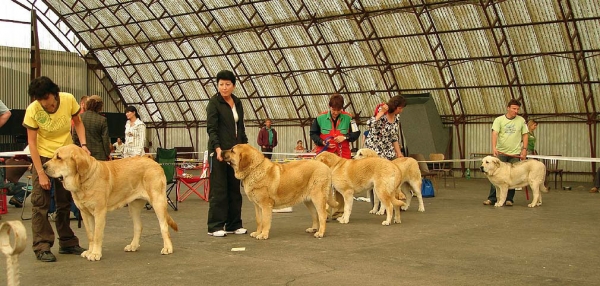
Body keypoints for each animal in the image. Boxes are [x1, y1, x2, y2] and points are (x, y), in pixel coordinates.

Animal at [43, 145, 177, 262]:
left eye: (59, 157)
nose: (43, 166)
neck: (84, 180)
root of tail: (154, 162)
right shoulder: (85, 214)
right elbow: (90, 235)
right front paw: (90, 251)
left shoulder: (99, 212)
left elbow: (97, 235)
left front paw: (95, 254)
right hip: (133, 206)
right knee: (138, 226)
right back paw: (133, 245)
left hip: (158, 201)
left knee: (164, 226)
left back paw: (168, 247)